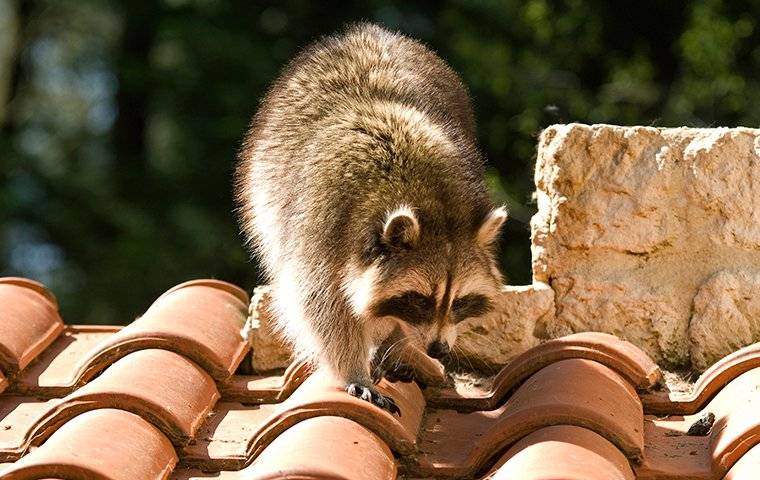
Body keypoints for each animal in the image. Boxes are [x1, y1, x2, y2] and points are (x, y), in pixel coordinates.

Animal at [236, 22, 504, 412]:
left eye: (459, 302)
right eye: (419, 300)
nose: (438, 349)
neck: (430, 199)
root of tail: (368, 31)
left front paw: (395, 340)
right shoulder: (321, 228)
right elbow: (323, 307)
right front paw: (353, 367)